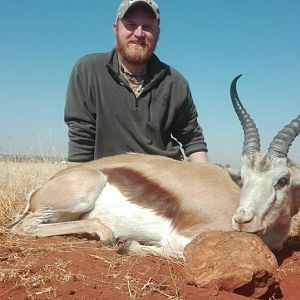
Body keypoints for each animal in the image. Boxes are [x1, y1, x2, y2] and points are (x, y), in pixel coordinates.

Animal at [10, 76, 298, 258]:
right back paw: (106, 233)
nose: (242, 220)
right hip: (81, 194)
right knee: (22, 228)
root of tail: (38, 192)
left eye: (282, 180)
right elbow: (181, 252)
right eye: (244, 178)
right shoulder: (181, 237)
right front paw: (128, 246)